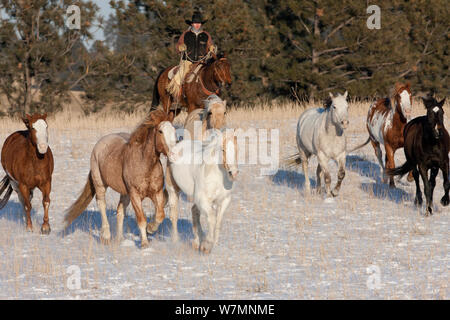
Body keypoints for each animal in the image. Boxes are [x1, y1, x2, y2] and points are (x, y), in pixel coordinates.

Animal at [64, 110, 178, 248]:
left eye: (174, 130)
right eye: (160, 131)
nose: (174, 154)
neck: (144, 163)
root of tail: (101, 143)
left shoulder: (157, 192)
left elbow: (160, 215)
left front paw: (150, 229)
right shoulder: (135, 194)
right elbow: (141, 219)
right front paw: (144, 243)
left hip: (124, 193)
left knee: (120, 211)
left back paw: (119, 239)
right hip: (100, 184)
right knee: (101, 204)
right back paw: (106, 236)